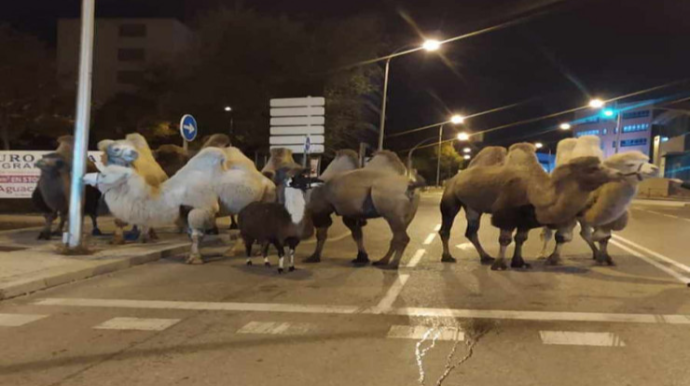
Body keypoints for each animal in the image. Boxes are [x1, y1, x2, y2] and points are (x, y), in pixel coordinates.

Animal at [440, 139, 624, 272]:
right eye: (593, 168)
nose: (619, 173)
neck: (538, 190)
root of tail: (455, 178)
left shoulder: (526, 217)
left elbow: (520, 239)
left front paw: (519, 262)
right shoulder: (506, 214)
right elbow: (505, 239)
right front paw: (500, 265)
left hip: (472, 207)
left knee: (471, 231)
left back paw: (485, 257)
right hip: (450, 198)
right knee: (446, 227)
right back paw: (448, 257)